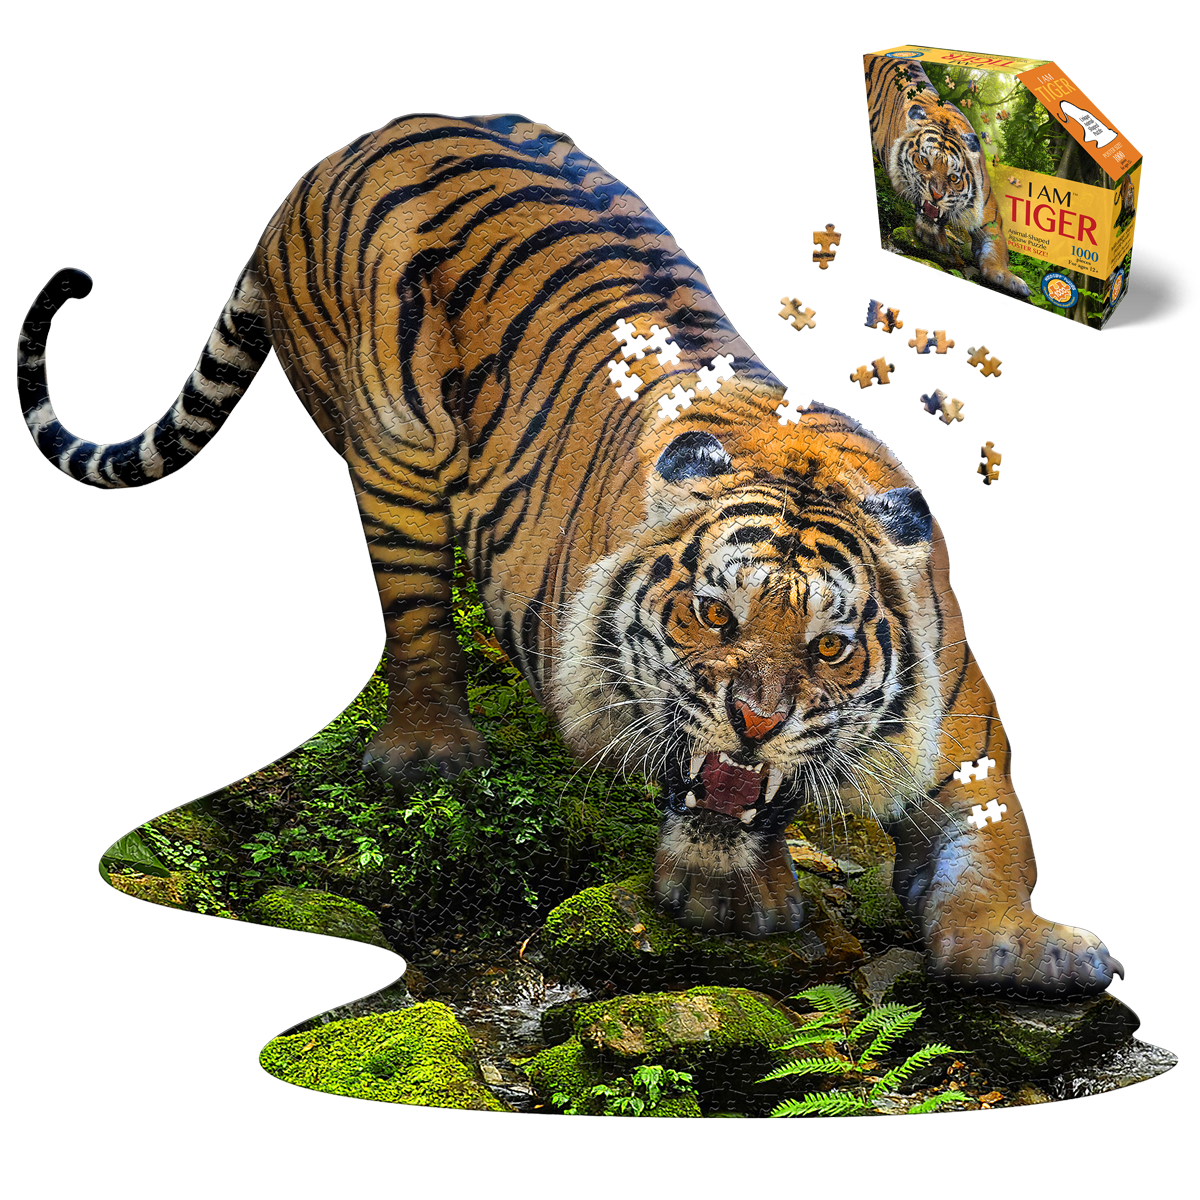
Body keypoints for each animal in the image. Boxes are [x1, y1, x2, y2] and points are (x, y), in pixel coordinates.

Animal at [18, 114, 1117, 996]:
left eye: (831, 649)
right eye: (712, 613)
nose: (757, 724)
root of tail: (331, 159)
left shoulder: (964, 750)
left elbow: (995, 847)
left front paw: (1024, 944)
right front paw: (728, 896)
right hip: (394, 453)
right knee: (415, 616)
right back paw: (431, 749)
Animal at [864, 53, 1030, 298]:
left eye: (953, 178)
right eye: (924, 161)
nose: (936, 195)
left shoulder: (989, 216)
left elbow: (997, 248)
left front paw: (1007, 277)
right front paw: (935, 238)